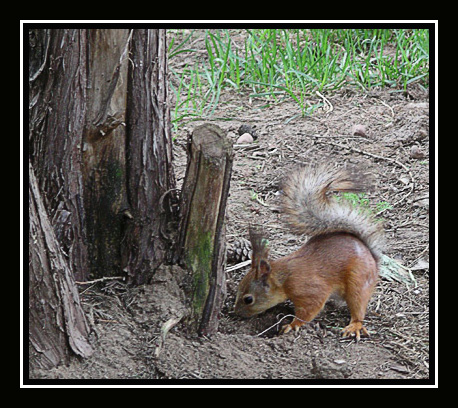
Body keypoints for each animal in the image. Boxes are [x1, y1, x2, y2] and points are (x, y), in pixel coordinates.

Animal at [234, 163, 384, 342]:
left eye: (248, 299)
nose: (235, 313)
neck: (283, 278)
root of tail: (372, 258)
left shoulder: (310, 289)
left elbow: (309, 309)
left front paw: (292, 325)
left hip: (358, 282)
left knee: (358, 307)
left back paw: (355, 326)